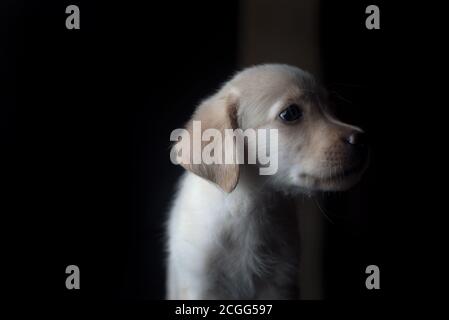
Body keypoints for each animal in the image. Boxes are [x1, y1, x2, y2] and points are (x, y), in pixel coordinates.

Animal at [165, 64, 368, 300]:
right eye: (290, 113)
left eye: (331, 107)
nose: (363, 139)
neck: (247, 207)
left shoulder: (280, 283)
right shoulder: (201, 285)